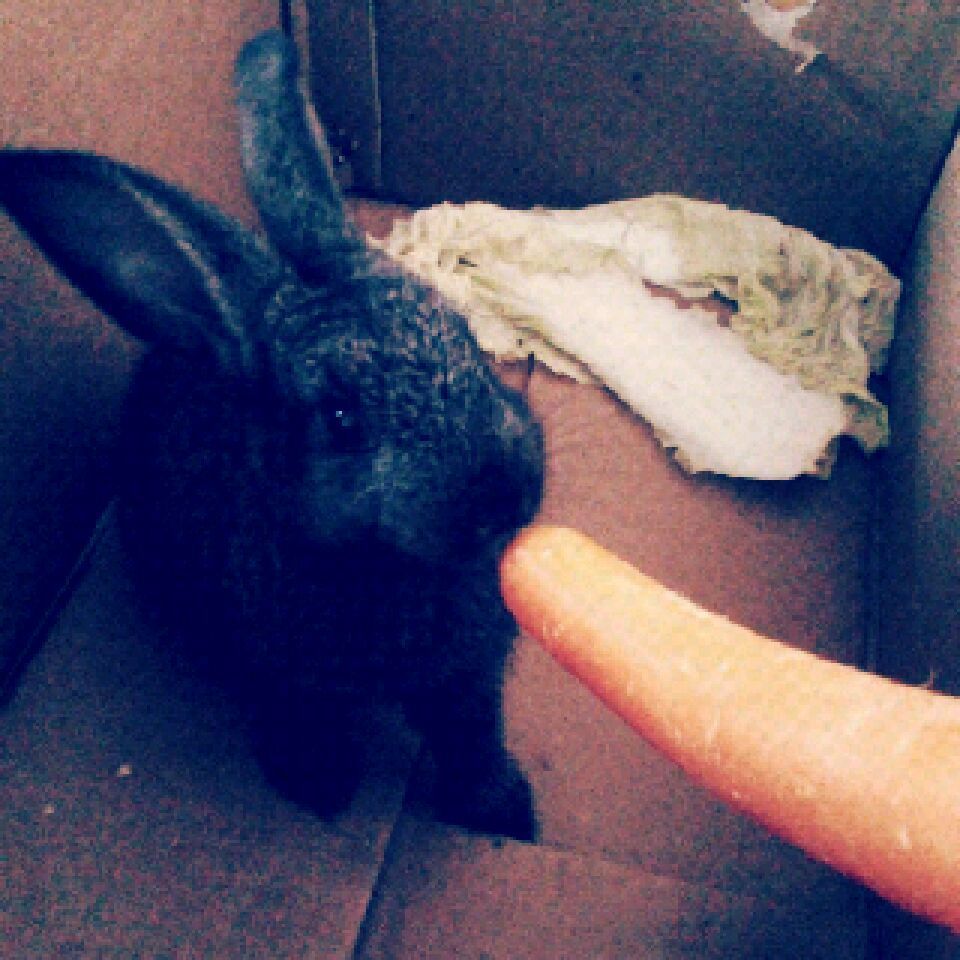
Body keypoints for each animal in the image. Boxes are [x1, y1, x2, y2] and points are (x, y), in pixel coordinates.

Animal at [0, 30, 544, 842]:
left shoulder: (467, 682)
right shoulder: (290, 678)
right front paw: (318, 789)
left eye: (466, 337)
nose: (506, 492)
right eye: (341, 418)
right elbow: (309, 727)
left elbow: (469, 737)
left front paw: (504, 813)